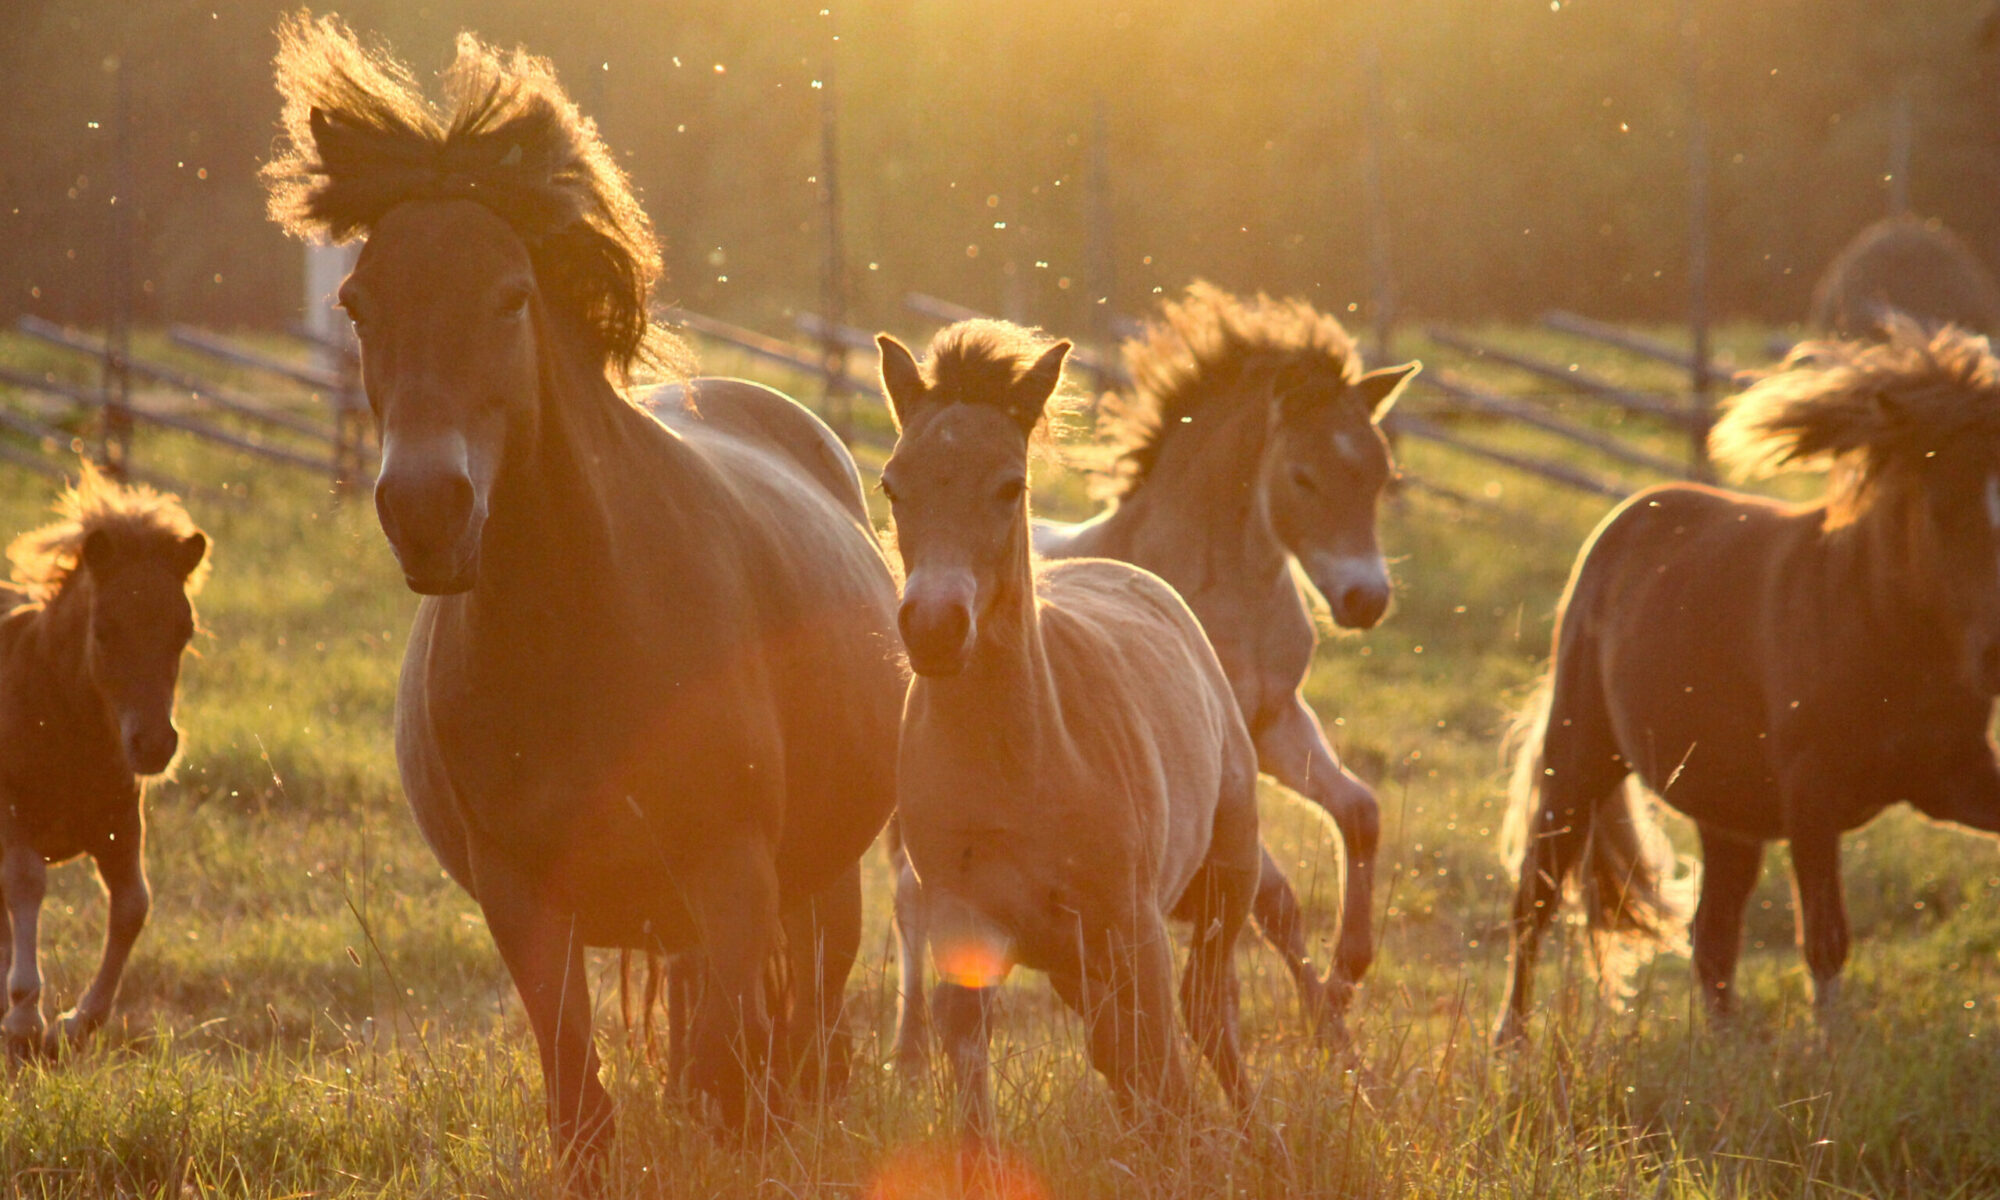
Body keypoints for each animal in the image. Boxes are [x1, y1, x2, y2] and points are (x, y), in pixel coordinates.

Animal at [0, 464, 207, 1056]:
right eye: (104, 629)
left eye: (183, 630)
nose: (155, 745)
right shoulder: (8, 811)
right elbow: (25, 882)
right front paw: (24, 1015)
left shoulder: (119, 822)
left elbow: (133, 904)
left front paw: (78, 1021)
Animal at [262, 14, 904, 1168]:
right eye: (356, 304)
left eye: (512, 297)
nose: (425, 510)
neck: (577, 630)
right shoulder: (524, 897)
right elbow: (582, 1097)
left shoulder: (732, 878)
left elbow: (727, 1077)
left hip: (820, 880)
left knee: (807, 1018)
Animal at [880, 318, 1256, 1136]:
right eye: (893, 484)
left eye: (1010, 487)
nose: (934, 628)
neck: (1022, 765)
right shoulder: (963, 927)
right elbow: (972, 1072)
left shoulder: (1136, 927)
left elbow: (1165, 1061)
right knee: (1119, 1046)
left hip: (1226, 878)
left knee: (1206, 1014)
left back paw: (1259, 1135)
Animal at [892, 286, 1424, 1064]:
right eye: (1303, 476)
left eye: (1381, 476)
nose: (1366, 599)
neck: (1231, 587)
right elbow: (1276, 899)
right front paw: (1329, 1021)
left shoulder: (1274, 724)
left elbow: (1358, 813)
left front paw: (1344, 986)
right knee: (908, 903)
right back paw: (908, 1053)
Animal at [1504, 316, 2000, 1040]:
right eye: (1940, 506)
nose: (1997, 655)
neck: (1883, 629)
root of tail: (1625, 519)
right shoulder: (1811, 795)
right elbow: (1825, 939)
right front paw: (1831, 1050)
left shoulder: (1955, 779)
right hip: (1578, 758)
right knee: (1533, 901)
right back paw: (1510, 1040)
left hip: (1726, 811)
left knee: (1712, 936)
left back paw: (1727, 1047)